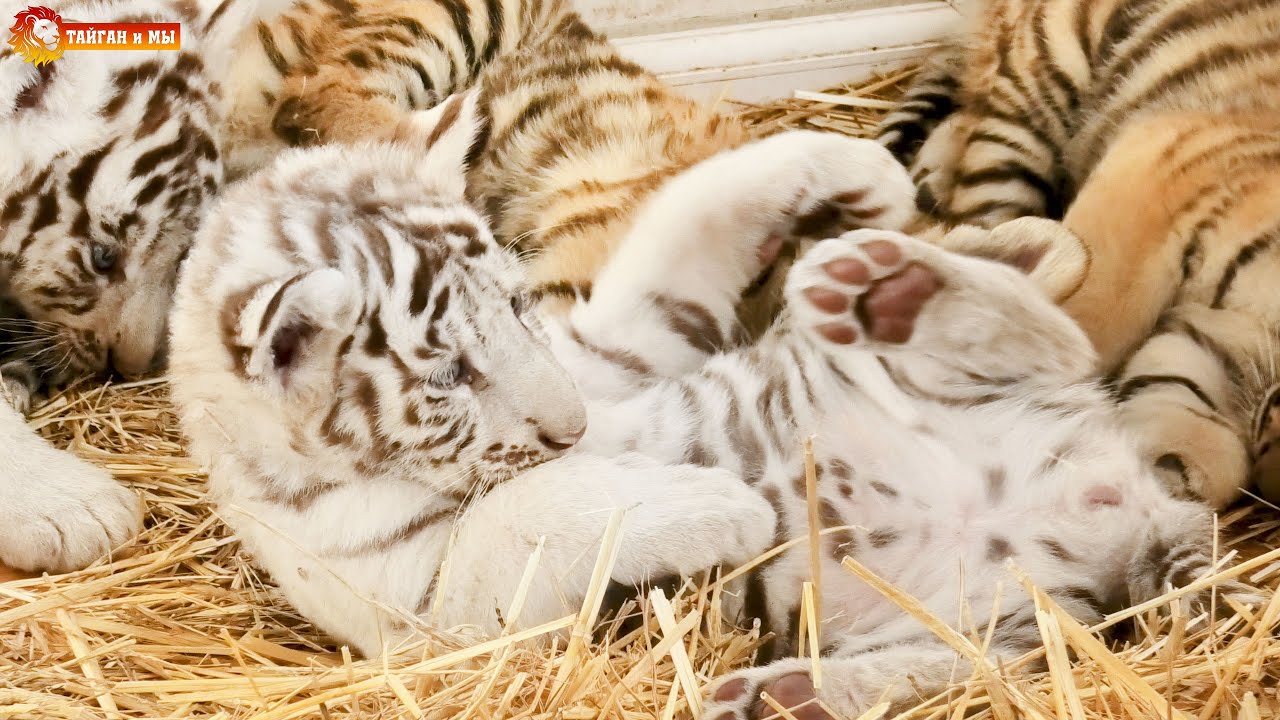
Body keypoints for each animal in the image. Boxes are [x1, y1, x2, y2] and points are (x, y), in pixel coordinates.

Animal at [168, 91, 1259, 718]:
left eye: (516, 308)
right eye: (449, 378)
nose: (571, 427)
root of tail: (1128, 505)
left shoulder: (611, 349)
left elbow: (693, 216)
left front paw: (853, 172)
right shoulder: (422, 606)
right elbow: (530, 514)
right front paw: (713, 502)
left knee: (1054, 338)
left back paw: (899, 274)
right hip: (1007, 622)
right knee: (981, 665)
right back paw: (788, 694)